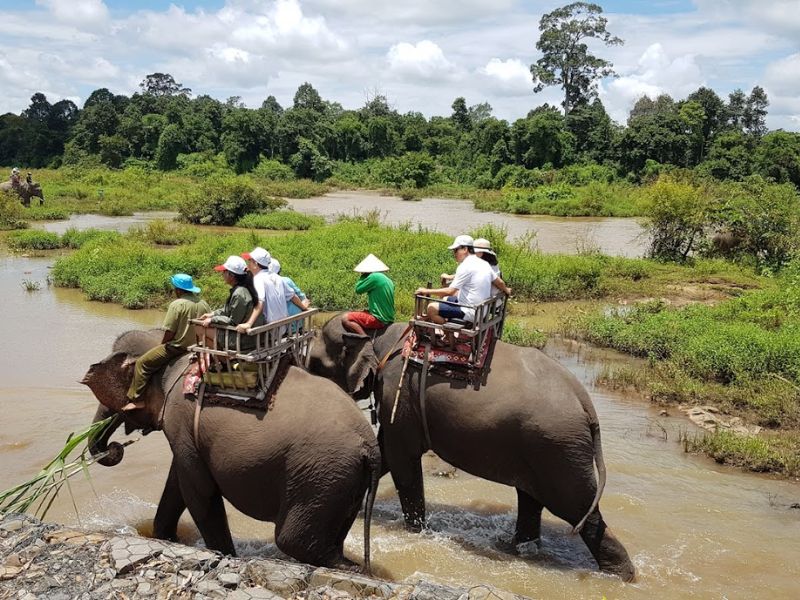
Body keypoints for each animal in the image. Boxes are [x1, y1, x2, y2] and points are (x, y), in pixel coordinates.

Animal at [83, 330, 382, 576]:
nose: (114, 446)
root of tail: (371, 446)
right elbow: (178, 483)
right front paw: (164, 538)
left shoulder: (181, 419)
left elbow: (198, 491)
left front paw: (224, 554)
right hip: (342, 481)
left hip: (319, 475)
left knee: (293, 541)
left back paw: (350, 568)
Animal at [310, 316, 636, 580]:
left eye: (314, 363)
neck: (379, 334)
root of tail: (585, 403)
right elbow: (387, 454)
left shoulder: (399, 395)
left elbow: (402, 460)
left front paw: (416, 532)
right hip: (543, 447)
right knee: (532, 499)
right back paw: (519, 550)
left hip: (558, 447)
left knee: (577, 508)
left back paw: (621, 575)